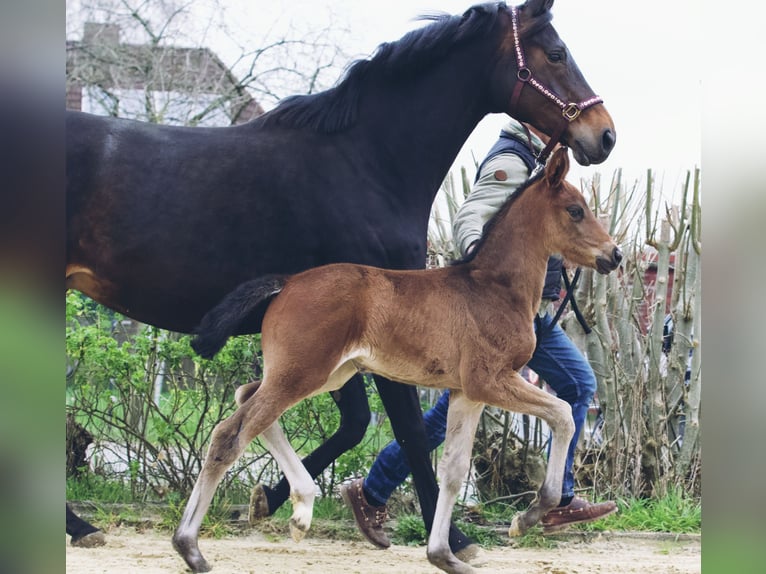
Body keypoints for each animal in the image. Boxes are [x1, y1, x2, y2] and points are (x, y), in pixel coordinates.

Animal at [172, 146, 624, 572]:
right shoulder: (491, 380)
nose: (615, 254)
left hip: (324, 374)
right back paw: (190, 547)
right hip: (301, 374)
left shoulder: (467, 392)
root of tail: (287, 282)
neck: (493, 289)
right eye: (575, 210)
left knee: (246, 395)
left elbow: (453, 471)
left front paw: (445, 556)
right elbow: (563, 414)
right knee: (229, 434)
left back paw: (301, 509)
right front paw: (528, 516)